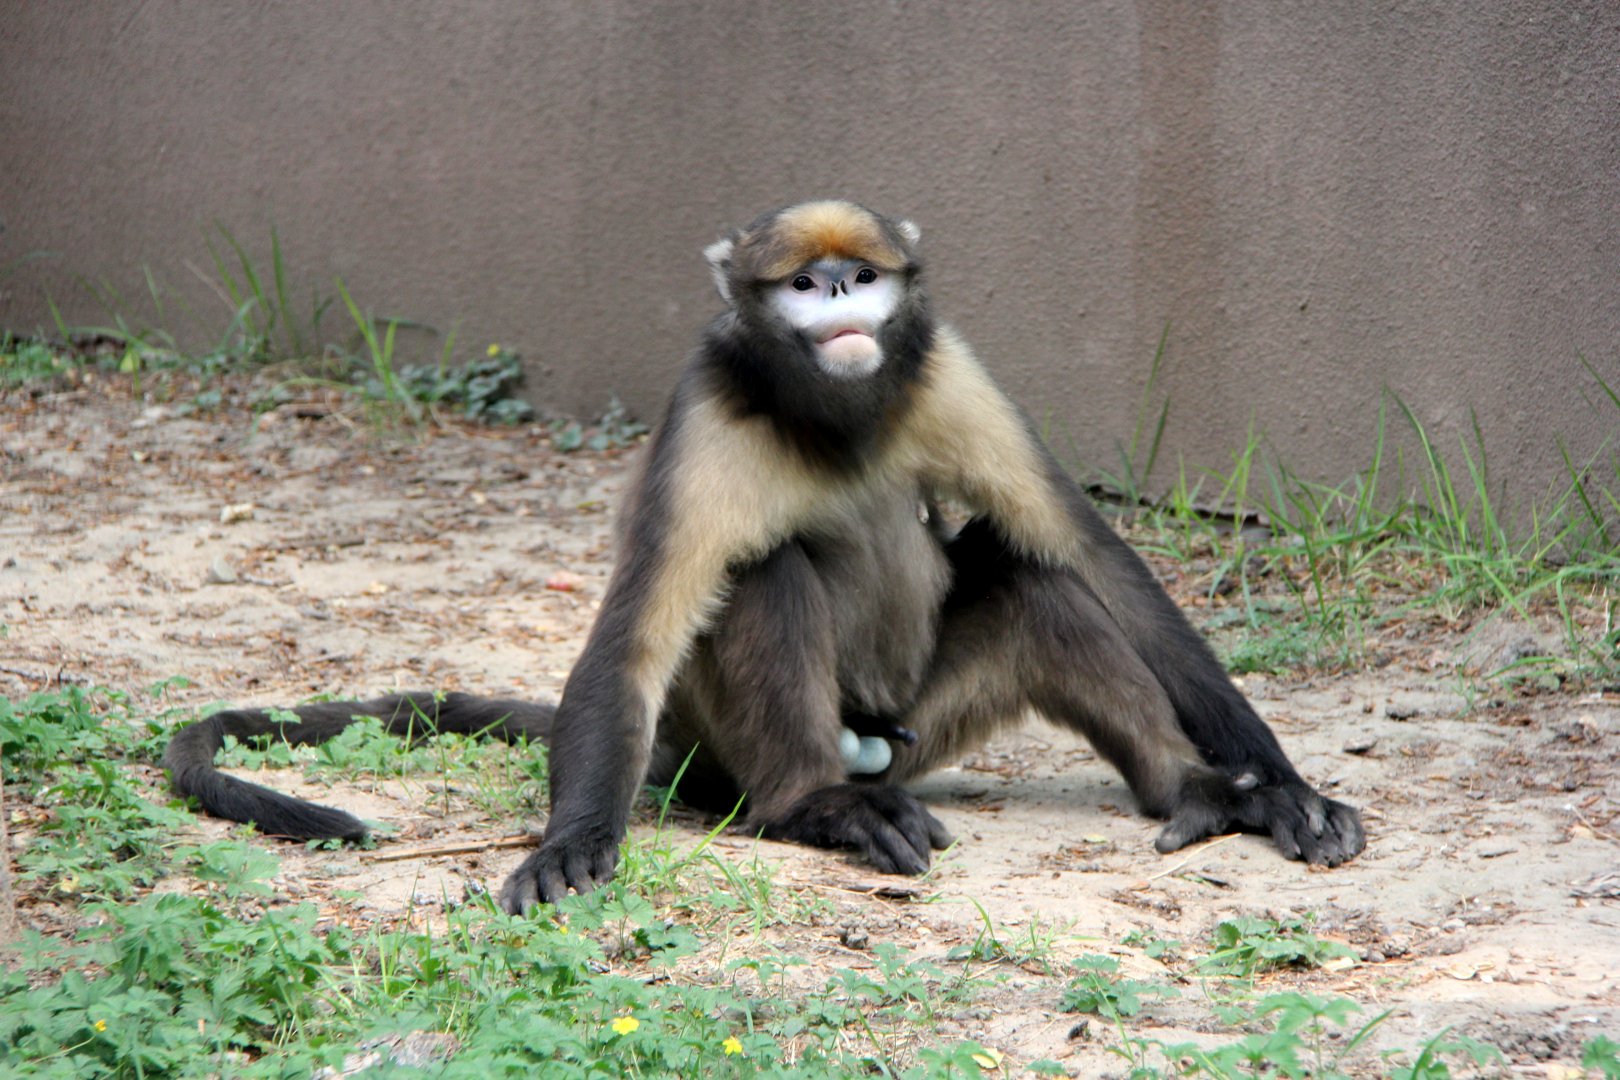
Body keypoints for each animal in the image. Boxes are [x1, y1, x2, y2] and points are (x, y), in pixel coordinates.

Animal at [164, 201, 1364, 913]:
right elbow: (636, 634)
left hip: (924, 723)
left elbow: (1099, 559)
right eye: (798, 283)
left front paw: (1282, 786)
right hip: (735, 757)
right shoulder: (707, 403)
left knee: (1035, 579)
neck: (836, 418)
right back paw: (812, 809)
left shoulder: (945, 370)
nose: (833, 294)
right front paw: (570, 841)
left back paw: (1194, 787)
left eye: (862, 276)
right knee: (764, 577)